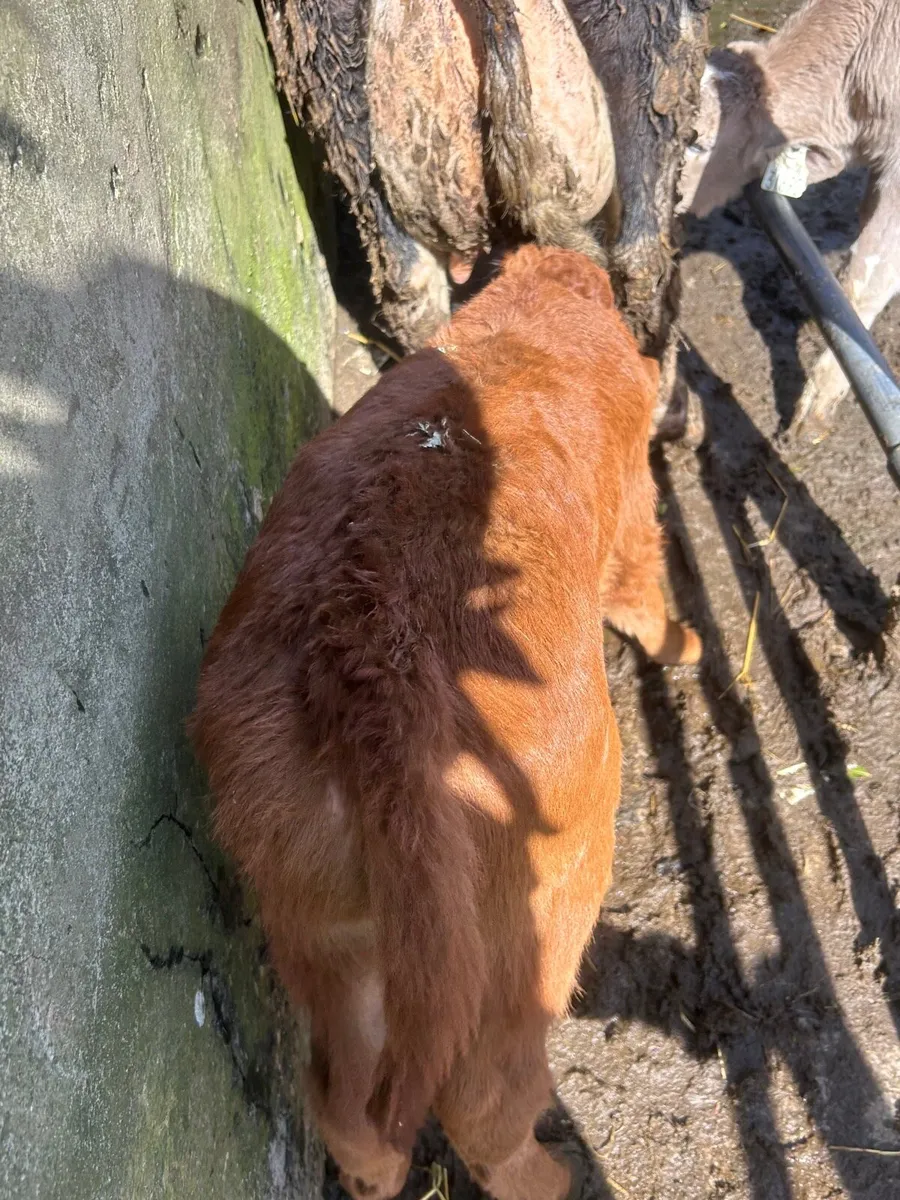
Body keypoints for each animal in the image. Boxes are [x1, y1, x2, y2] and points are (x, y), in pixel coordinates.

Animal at [190, 245, 701, 1200]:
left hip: (319, 915)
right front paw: (687, 645)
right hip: (544, 904)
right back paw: (558, 1178)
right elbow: (645, 592)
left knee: (346, 1097)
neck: (539, 314)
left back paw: (373, 1177)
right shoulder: (634, 522)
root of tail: (369, 670)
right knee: (485, 1101)